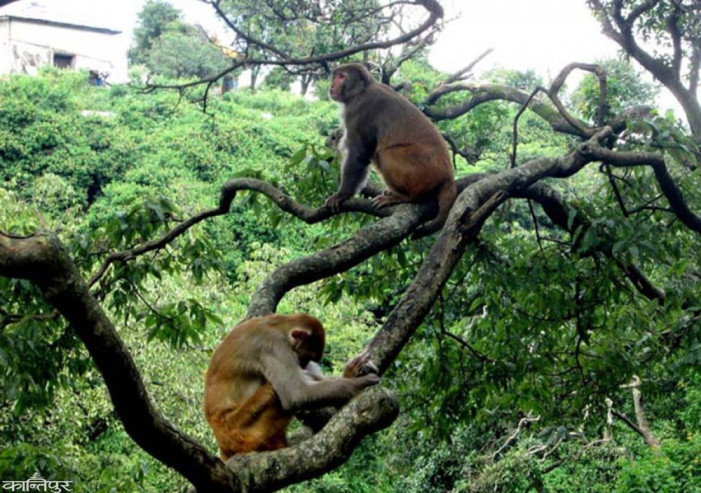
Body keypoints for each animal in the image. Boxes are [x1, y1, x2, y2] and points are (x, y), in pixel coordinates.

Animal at [203, 313, 379, 459]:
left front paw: (350, 372)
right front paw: (359, 384)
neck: (279, 325)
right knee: (274, 388)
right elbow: (296, 393)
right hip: (240, 430)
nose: (304, 364)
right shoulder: (274, 346)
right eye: (306, 356)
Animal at [325, 63, 457, 238]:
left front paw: (342, 195)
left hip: (424, 173)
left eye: (341, 76)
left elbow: (358, 154)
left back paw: (405, 197)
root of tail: (448, 176)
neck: (361, 91)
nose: (332, 86)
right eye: (335, 76)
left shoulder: (360, 110)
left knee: (385, 154)